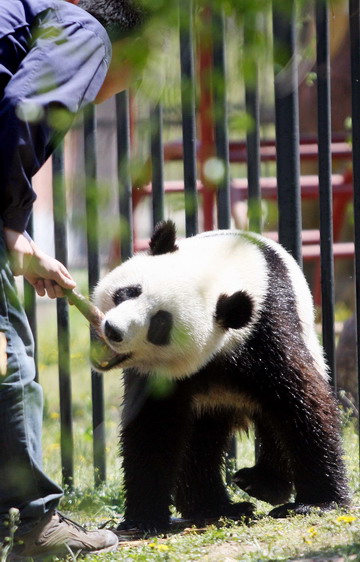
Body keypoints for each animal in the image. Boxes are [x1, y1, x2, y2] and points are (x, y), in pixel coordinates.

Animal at [92, 219, 348, 528]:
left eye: (160, 325)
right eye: (129, 292)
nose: (113, 330)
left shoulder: (266, 332)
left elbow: (302, 406)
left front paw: (317, 504)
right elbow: (154, 427)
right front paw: (144, 519)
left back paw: (260, 485)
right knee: (199, 444)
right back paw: (217, 508)